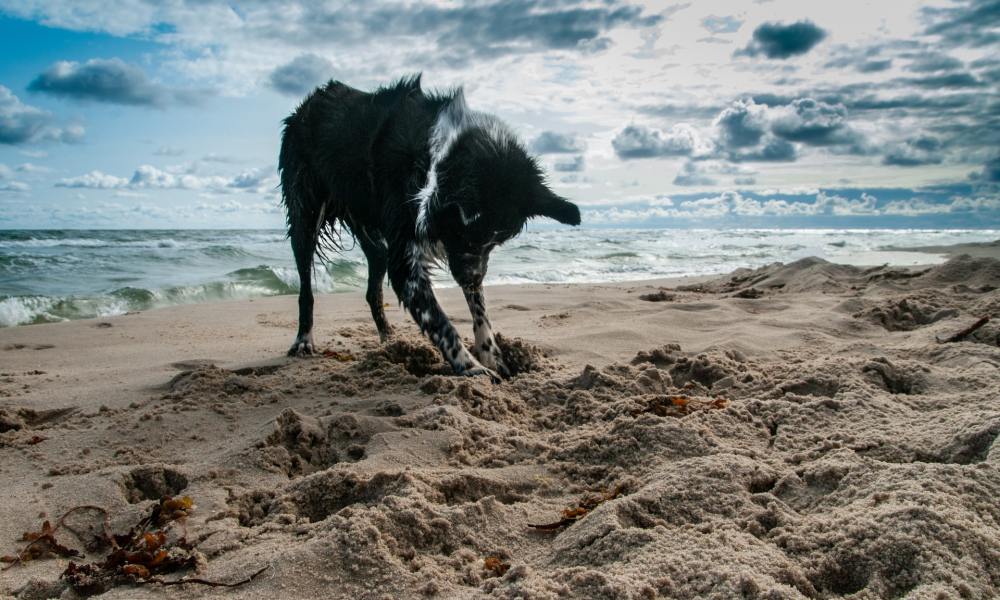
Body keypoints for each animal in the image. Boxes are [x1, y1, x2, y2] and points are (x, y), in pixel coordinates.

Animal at [278, 77, 584, 382]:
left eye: (497, 240)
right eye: (464, 235)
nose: (472, 279)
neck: (435, 157)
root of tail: (309, 102)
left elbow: (480, 309)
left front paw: (491, 353)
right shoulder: (408, 260)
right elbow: (441, 323)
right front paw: (473, 368)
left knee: (375, 270)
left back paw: (389, 338)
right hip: (305, 213)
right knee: (306, 287)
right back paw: (303, 340)